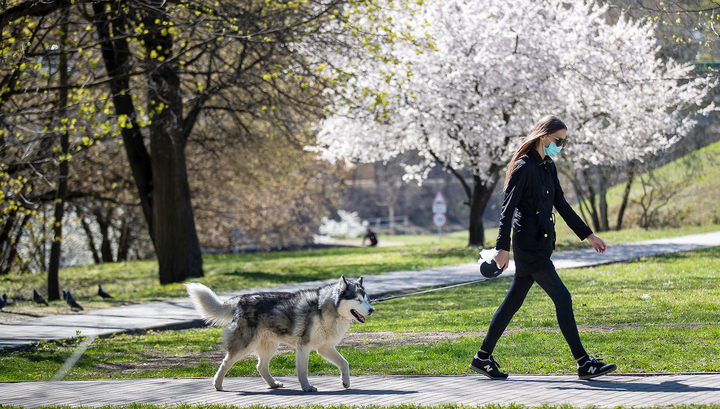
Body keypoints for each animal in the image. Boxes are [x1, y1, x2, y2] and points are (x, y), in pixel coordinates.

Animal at [186, 276, 374, 390]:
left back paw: (273, 384)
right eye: (358, 300)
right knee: (226, 362)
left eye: (367, 300)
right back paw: (217, 384)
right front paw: (307, 388)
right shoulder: (304, 347)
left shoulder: (324, 348)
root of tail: (241, 299)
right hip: (244, 346)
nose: (372, 310)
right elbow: (303, 371)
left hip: (270, 346)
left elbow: (345, 363)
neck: (326, 309)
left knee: (260, 367)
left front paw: (346, 381)